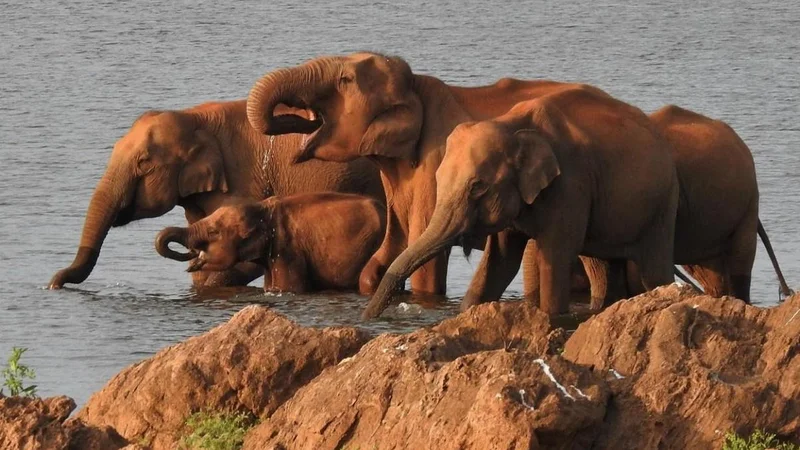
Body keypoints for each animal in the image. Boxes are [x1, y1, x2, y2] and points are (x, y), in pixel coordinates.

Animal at [246, 51, 609, 299]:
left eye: (345, 81)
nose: (297, 117)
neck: (415, 85)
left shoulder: (436, 167)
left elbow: (425, 260)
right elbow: (393, 246)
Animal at [361, 87, 680, 319]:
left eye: (477, 187)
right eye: (438, 179)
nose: (369, 318)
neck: (511, 125)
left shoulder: (571, 185)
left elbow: (555, 256)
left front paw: (552, 316)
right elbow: (500, 262)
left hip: (662, 206)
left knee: (654, 268)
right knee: (607, 268)